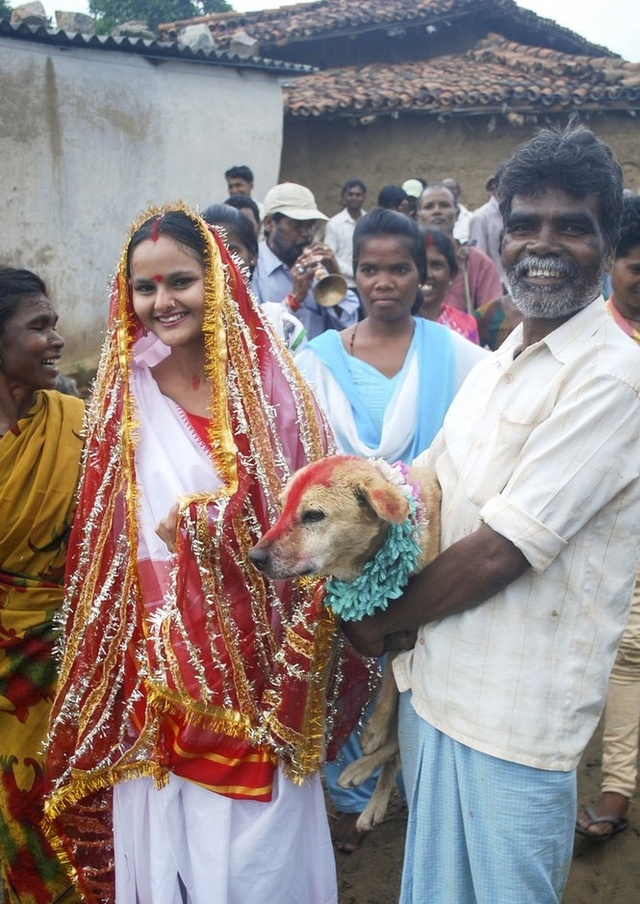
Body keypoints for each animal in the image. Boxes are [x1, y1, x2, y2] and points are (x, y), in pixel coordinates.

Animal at [249, 460, 440, 832]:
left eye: (313, 515)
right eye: (282, 507)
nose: (255, 556)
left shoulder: (405, 627)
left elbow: (390, 686)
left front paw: (375, 728)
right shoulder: (340, 624)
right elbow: (320, 674)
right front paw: (315, 728)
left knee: (397, 743)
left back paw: (363, 772)